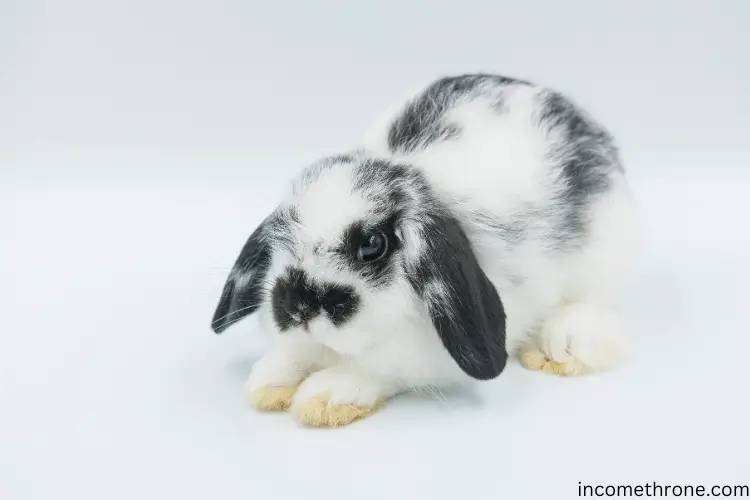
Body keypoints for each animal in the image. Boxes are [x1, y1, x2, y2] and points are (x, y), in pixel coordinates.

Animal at [210, 72, 640, 428]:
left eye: (372, 245)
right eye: (283, 230)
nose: (298, 307)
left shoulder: (416, 354)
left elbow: (376, 369)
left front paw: (326, 396)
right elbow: (294, 354)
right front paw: (268, 381)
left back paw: (560, 348)